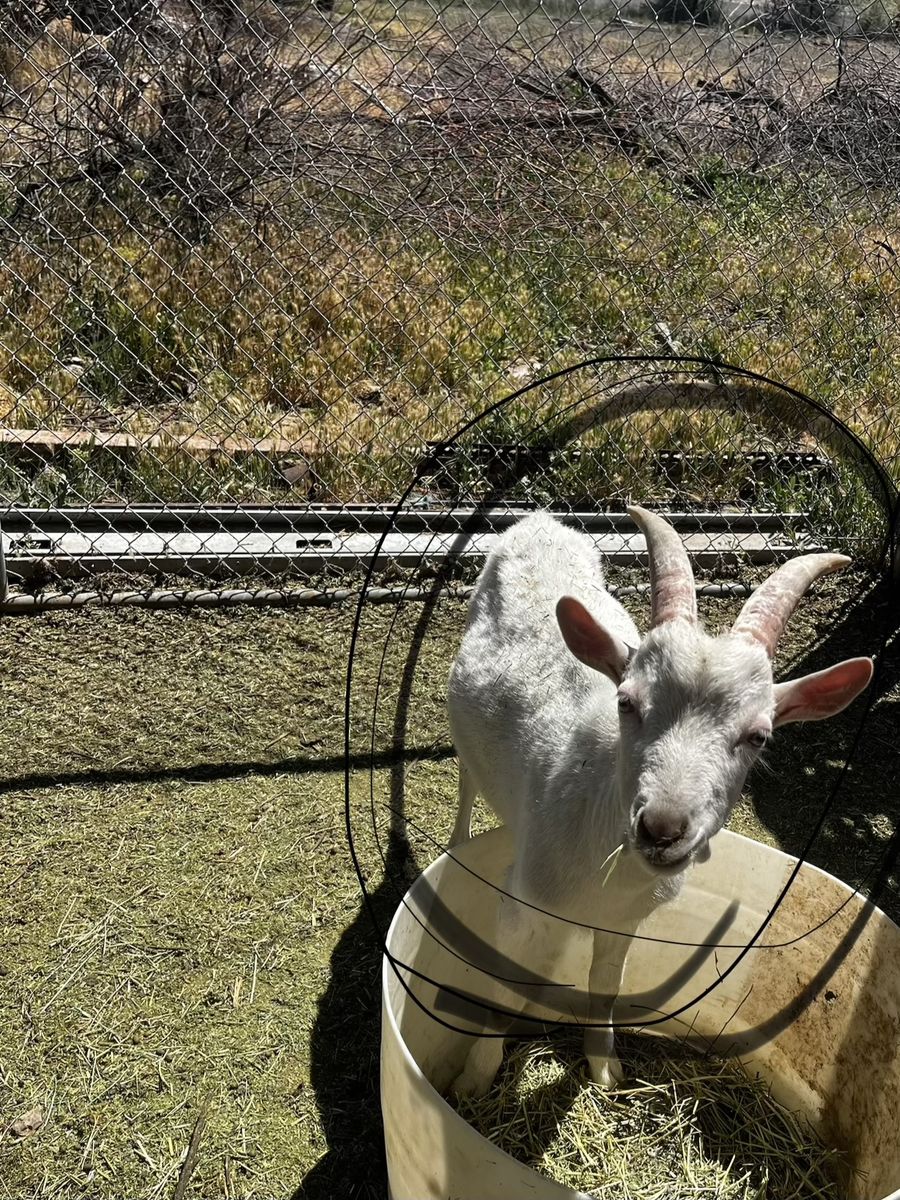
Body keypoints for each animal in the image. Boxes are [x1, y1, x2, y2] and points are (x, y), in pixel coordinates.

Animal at [446, 506, 873, 1098]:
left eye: (759, 736)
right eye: (627, 702)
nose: (662, 828)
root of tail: (541, 519)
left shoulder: (623, 921)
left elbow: (605, 985)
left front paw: (605, 1069)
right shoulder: (523, 904)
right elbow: (503, 989)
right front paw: (472, 1081)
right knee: (467, 778)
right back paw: (458, 842)